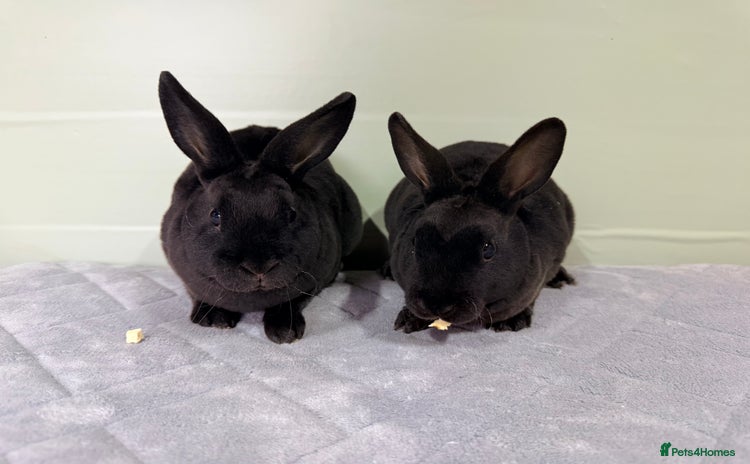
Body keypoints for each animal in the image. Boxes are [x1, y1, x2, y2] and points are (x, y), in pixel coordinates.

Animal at [158, 71, 362, 343]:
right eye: (215, 215)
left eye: (291, 214)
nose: (259, 267)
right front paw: (214, 320)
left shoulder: (313, 282)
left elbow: (292, 301)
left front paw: (284, 331)